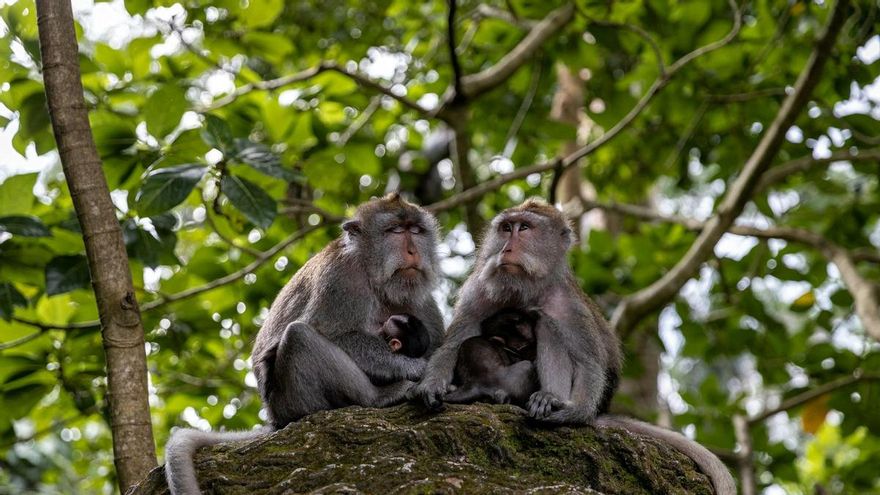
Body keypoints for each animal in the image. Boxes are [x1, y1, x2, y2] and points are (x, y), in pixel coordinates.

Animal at [166, 193, 445, 495]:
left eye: (415, 231)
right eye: (395, 231)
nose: (413, 252)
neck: (373, 274)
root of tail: (276, 420)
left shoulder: (420, 300)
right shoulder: (341, 280)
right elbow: (335, 334)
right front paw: (418, 368)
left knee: (299, 338)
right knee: (300, 336)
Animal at [410, 198, 735, 495]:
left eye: (524, 228)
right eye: (505, 228)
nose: (506, 249)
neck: (527, 291)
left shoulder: (569, 306)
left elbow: (587, 362)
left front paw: (574, 411)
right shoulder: (477, 292)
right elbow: (453, 344)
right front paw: (431, 385)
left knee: (549, 328)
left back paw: (550, 399)